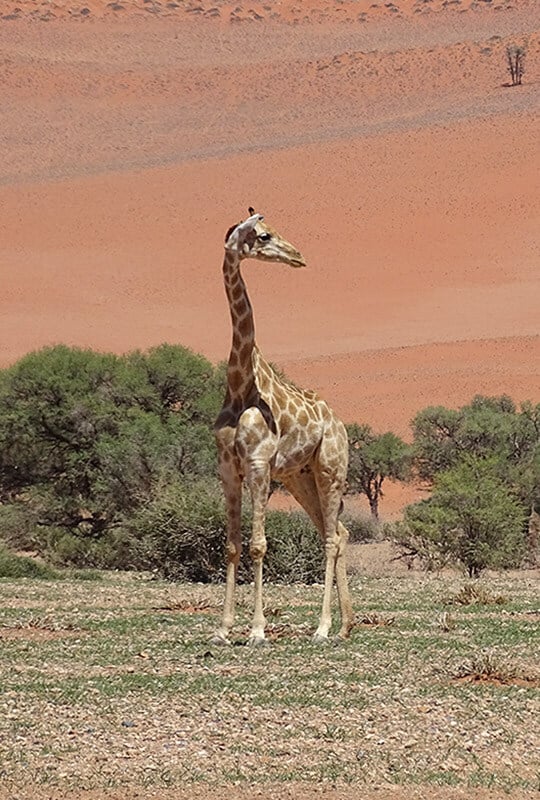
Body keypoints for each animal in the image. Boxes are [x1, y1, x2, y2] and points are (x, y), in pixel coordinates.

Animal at [211, 208, 354, 644]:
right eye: (263, 235)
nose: (298, 255)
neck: (241, 384)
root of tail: (341, 425)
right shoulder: (228, 469)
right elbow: (232, 545)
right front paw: (223, 629)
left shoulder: (258, 465)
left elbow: (258, 544)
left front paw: (257, 630)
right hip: (298, 477)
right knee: (338, 532)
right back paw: (346, 624)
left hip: (330, 470)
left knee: (331, 538)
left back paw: (323, 627)